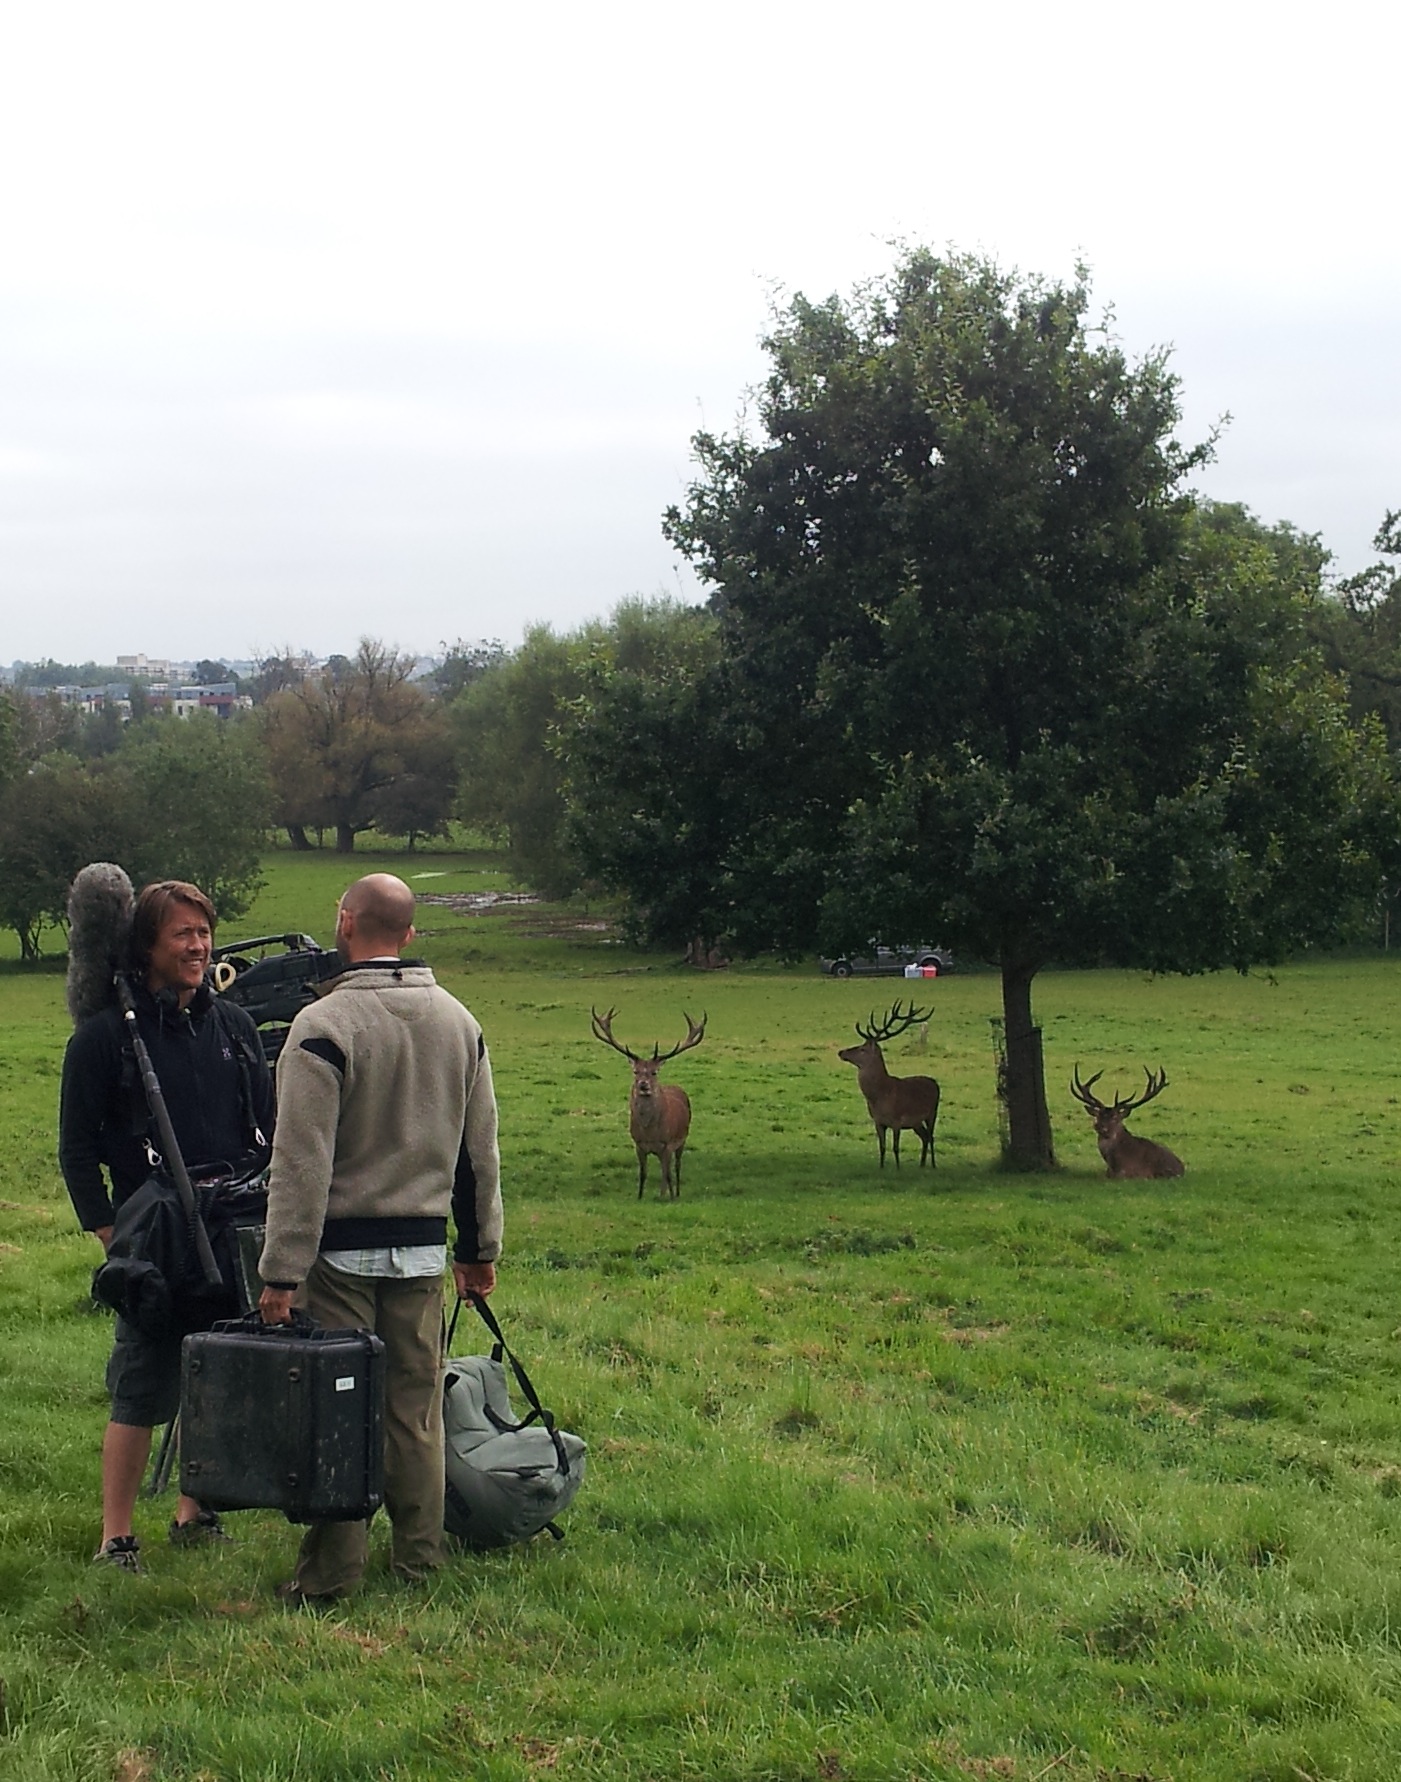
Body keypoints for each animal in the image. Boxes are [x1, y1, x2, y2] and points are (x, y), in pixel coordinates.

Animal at [591, 1007, 707, 1199]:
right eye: (635, 1071)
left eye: (654, 1072)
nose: (643, 1084)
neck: (650, 1132)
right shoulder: (638, 1144)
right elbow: (643, 1173)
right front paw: (640, 1197)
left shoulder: (667, 1144)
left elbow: (667, 1174)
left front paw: (670, 1198)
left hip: (683, 1139)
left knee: (676, 1168)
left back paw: (675, 1193)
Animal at [837, 1001, 941, 1168]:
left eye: (862, 1049)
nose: (841, 1052)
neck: (880, 1096)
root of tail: (935, 1082)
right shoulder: (878, 1122)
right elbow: (882, 1147)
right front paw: (881, 1167)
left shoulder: (897, 1121)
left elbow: (896, 1147)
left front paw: (898, 1169)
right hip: (916, 1122)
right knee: (925, 1137)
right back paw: (922, 1164)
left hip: (932, 1113)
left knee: (931, 1136)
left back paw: (932, 1165)